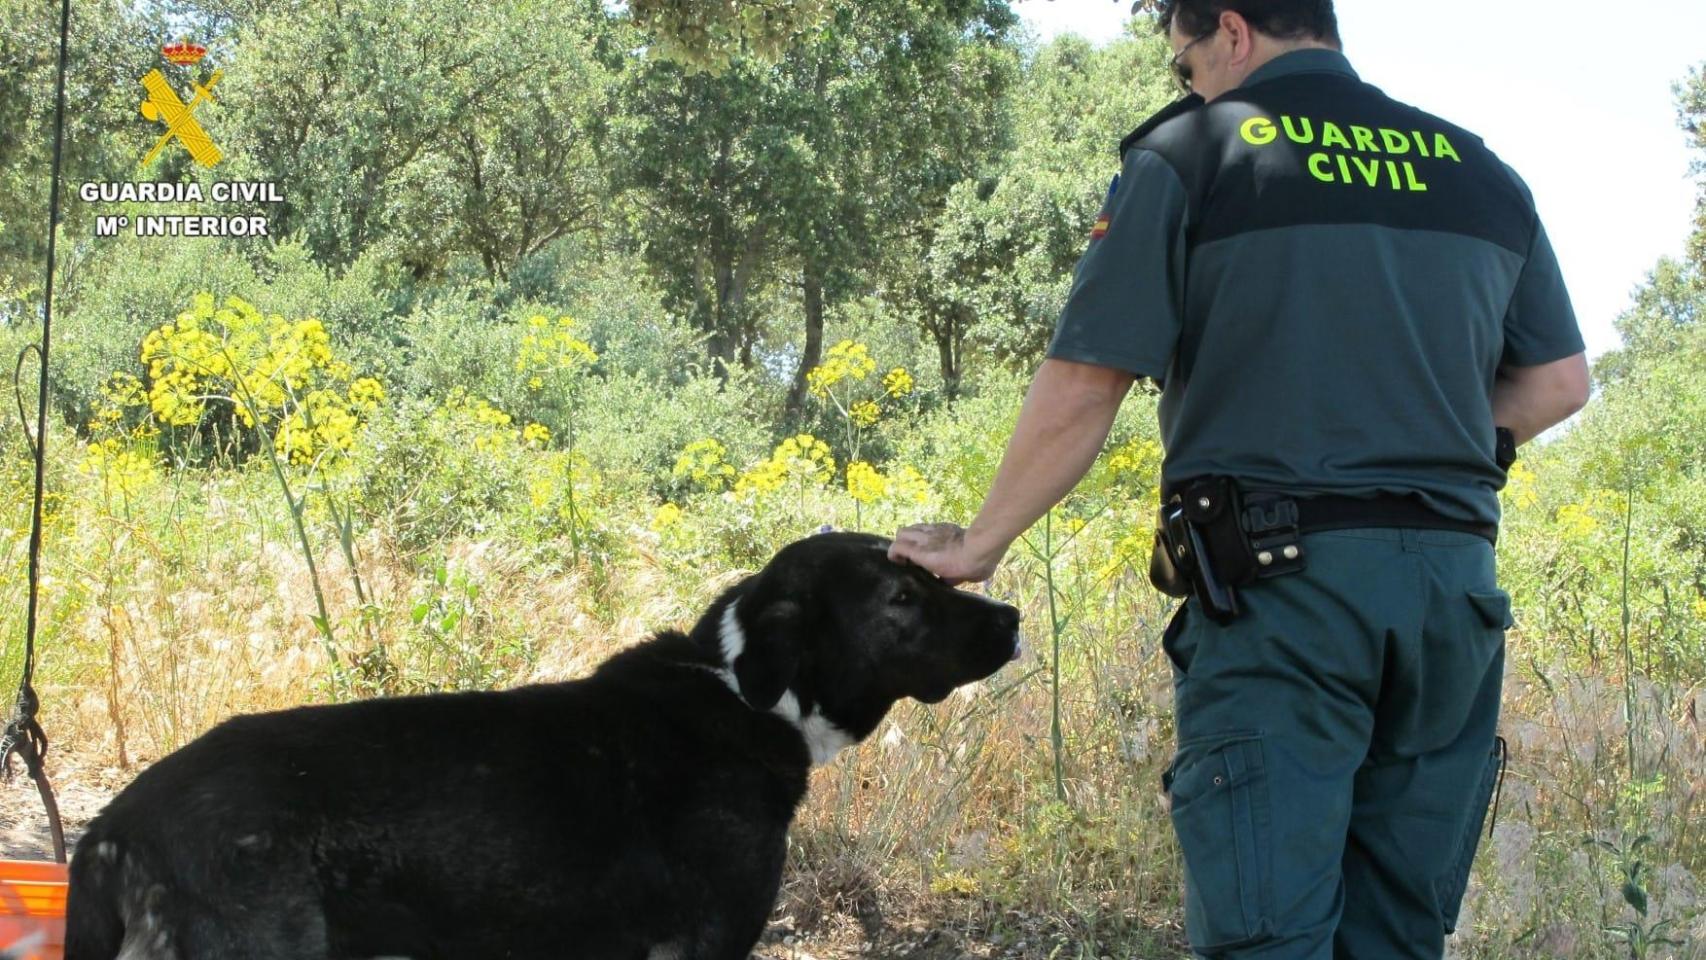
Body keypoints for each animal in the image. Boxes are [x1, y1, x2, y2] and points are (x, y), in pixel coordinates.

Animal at [66, 528, 1016, 954]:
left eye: (928, 575)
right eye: (902, 598)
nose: (1011, 618)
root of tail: (117, 824)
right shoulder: (706, 941)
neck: (745, 692)